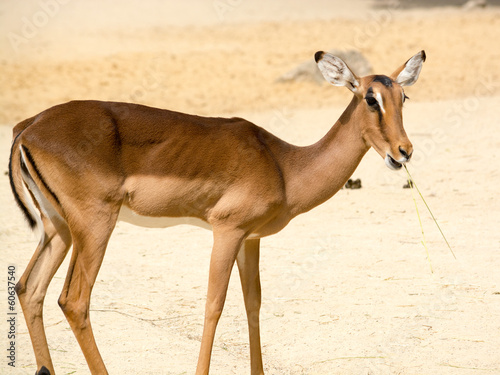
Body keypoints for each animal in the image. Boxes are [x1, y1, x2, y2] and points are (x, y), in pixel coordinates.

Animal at [8, 50, 426, 375]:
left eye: (403, 96)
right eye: (370, 98)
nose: (403, 151)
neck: (284, 166)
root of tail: (27, 128)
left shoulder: (250, 239)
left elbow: (253, 303)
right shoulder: (226, 231)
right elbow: (214, 305)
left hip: (58, 229)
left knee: (28, 289)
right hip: (94, 227)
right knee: (74, 301)